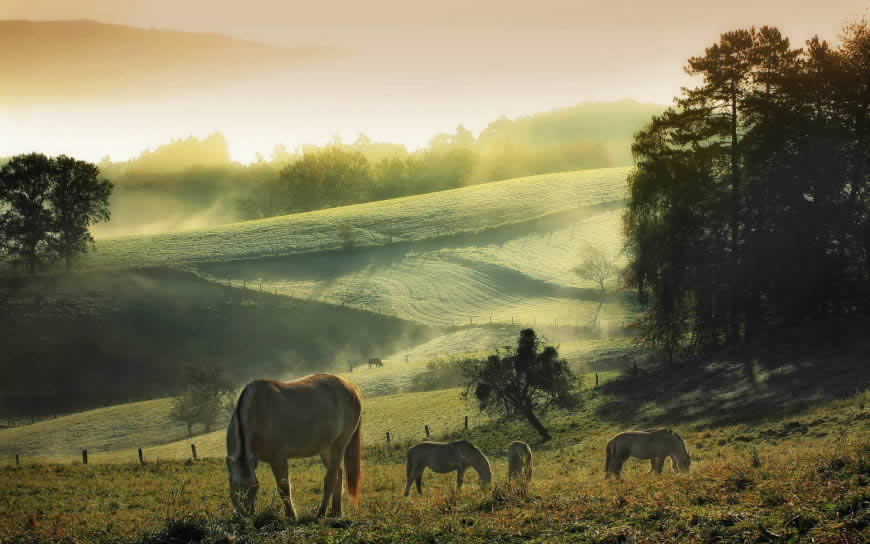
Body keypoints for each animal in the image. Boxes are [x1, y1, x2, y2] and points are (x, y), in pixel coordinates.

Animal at [227, 374, 362, 520]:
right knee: (339, 473)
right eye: (234, 487)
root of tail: (352, 388)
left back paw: (321, 513)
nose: (245, 514)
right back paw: (336, 512)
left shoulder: (278, 458)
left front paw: (291, 516)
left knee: (330, 479)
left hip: (339, 444)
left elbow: (284, 488)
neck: (255, 412)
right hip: (326, 448)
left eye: (253, 487)